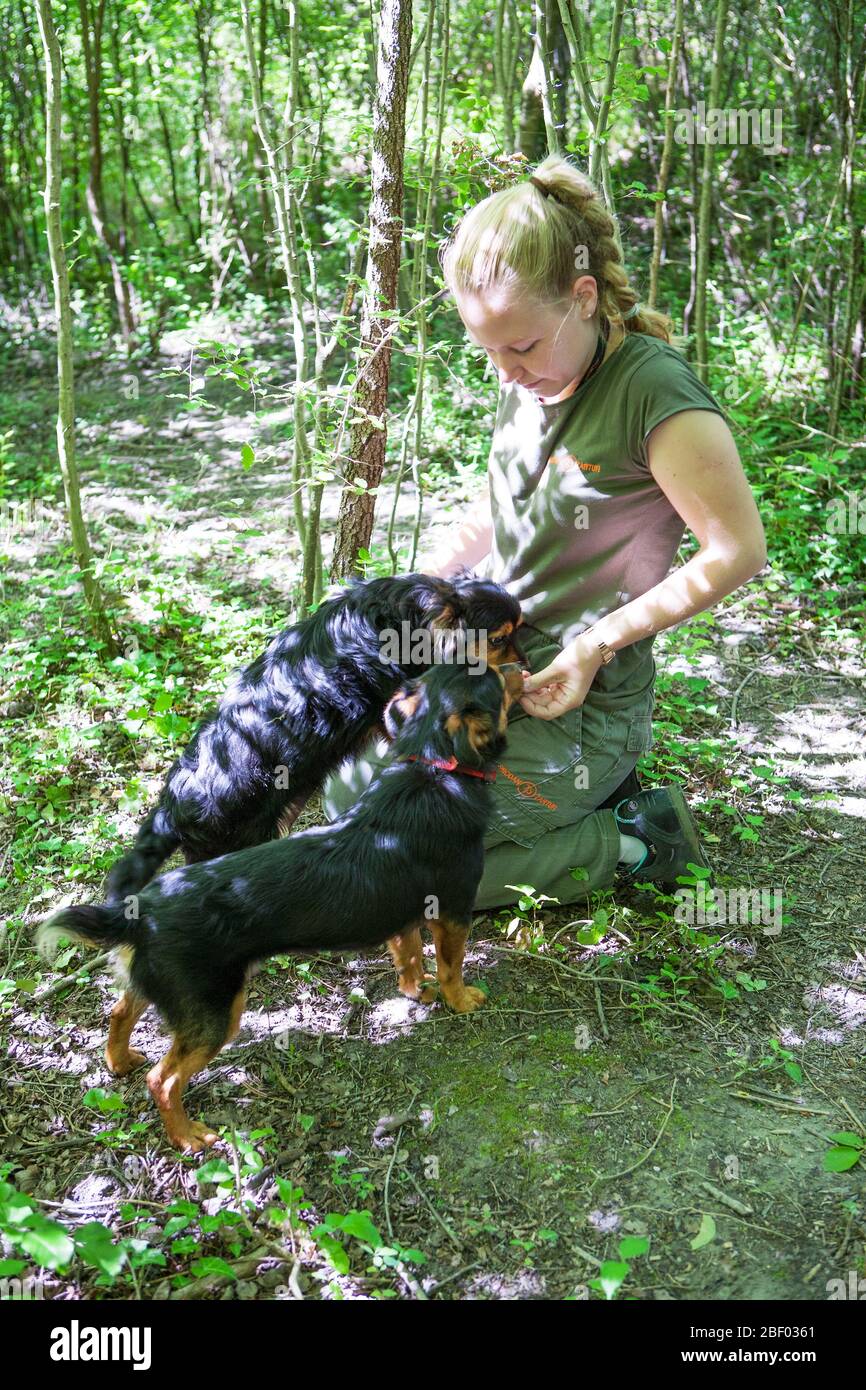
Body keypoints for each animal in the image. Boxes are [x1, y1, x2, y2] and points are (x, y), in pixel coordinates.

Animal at [38, 661, 522, 1150]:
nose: (520, 665)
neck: (431, 765)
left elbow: (409, 959)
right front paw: (461, 1001)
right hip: (214, 1013)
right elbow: (450, 966)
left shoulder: (401, 916)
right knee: (163, 1080)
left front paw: (416, 991)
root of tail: (140, 912)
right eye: (496, 678)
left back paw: (118, 1063)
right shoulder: (454, 911)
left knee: (119, 1014)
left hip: (163, 988)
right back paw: (188, 1136)